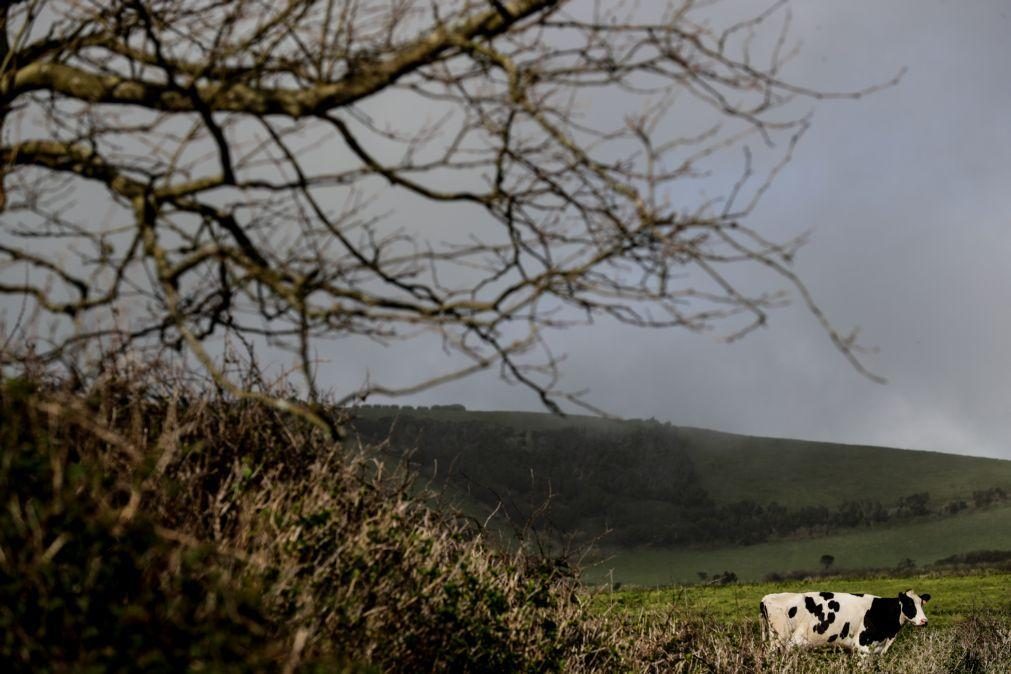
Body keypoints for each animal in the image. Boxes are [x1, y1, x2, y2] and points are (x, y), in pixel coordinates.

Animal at [760, 590, 930, 658]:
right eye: (909, 604)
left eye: (922, 603)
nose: (924, 621)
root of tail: (766, 598)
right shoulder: (862, 647)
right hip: (779, 641)